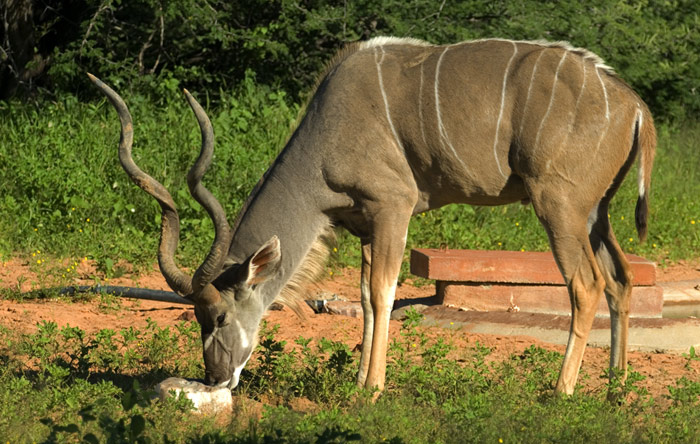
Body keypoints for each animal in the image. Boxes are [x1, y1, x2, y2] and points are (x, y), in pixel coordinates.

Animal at [89, 36, 656, 394]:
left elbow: (384, 293)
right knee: (621, 280)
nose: (216, 378)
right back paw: (615, 389)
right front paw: (359, 378)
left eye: (220, 316)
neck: (329, 130)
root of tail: (635, 107)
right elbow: (362, 298)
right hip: (595, 214)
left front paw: (373, 388)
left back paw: (561, 392)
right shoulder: (363, 223)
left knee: (585, 285)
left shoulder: (393, 207)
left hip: (558, 207)